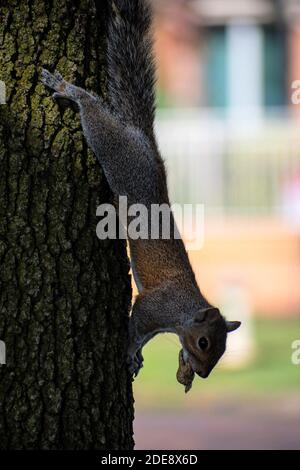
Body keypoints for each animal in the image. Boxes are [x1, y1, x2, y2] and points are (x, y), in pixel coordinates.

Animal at [41, 0, 241, 382]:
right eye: (205, 342)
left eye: (222, 351)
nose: (203, 374)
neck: (182, 312)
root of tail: (145, 140)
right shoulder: (152, 308)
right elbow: (135, 330)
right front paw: (130, 353)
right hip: (117, 154)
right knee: (94, 116)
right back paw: (72, 91)